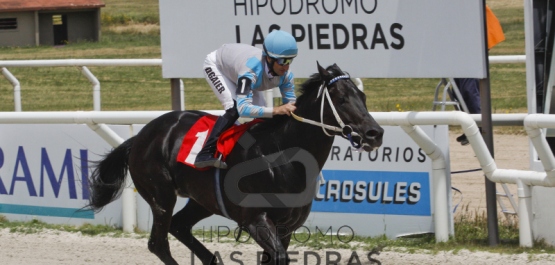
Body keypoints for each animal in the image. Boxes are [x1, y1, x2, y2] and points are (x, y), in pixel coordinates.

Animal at [87, 62, 384, 264]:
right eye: (341, 99)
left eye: (363, 97)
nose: (375, 133)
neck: (282, 156)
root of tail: (140, 136)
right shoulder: (256, 219)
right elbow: (278, 256)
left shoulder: (286, 227)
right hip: (160, 196)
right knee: (158, 243)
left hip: (201, 199)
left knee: (179, 226)